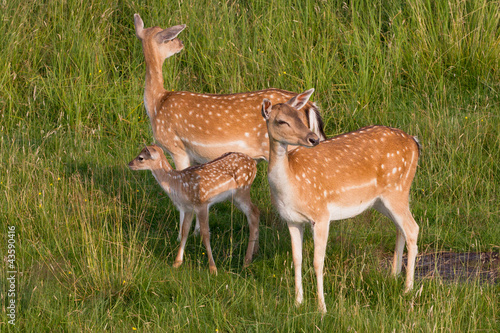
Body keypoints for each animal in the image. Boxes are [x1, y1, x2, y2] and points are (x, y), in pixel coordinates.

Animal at [127, 145, 260, 272]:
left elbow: (205, 234)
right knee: (256, 211)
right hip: (233, 196)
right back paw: (254, 252)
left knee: (253, 214)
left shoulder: (202, 204)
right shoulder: (188, 208)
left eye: (141, 158)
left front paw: (213, 268)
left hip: (242, 191)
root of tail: (254, 164)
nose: (129, 164)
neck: (178, 184)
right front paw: (177, 263)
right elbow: (184, 231)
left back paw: (246, 261)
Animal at [134, 13, 328, 240]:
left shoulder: (176, 147)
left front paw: (184, 234)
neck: (157, 104)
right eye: (168, 38)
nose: (181, 43)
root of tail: (309, 105)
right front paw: (198, 230)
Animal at [262, 87, 422, 312]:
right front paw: (298, 302)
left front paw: (321, 307)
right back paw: (393, 276)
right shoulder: (292, 219)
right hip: (382, 200)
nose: (313, 138)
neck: (291, 187)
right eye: (282, 121)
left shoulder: (321, 214)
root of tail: (415, 142)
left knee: (413, 228)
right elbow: (297, 259)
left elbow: (317, 261)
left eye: (300, 118)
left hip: (397, 189)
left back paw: (408, 289)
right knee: (401, 228)